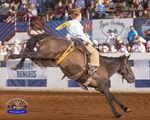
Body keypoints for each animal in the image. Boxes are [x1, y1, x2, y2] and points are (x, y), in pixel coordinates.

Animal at [5, 33, 135, 118]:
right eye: (129, 66)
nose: (133, 78)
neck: (104, 66)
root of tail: (50, 38)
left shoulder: (100, 88)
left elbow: (113, 97)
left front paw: (126, 108)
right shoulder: (103, 86)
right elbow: (110, 100)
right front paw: (117, 114)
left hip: (43, 59)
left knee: (28, 53)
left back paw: (16, 64)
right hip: (43, 54)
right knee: (27, 53)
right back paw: (11, 58)